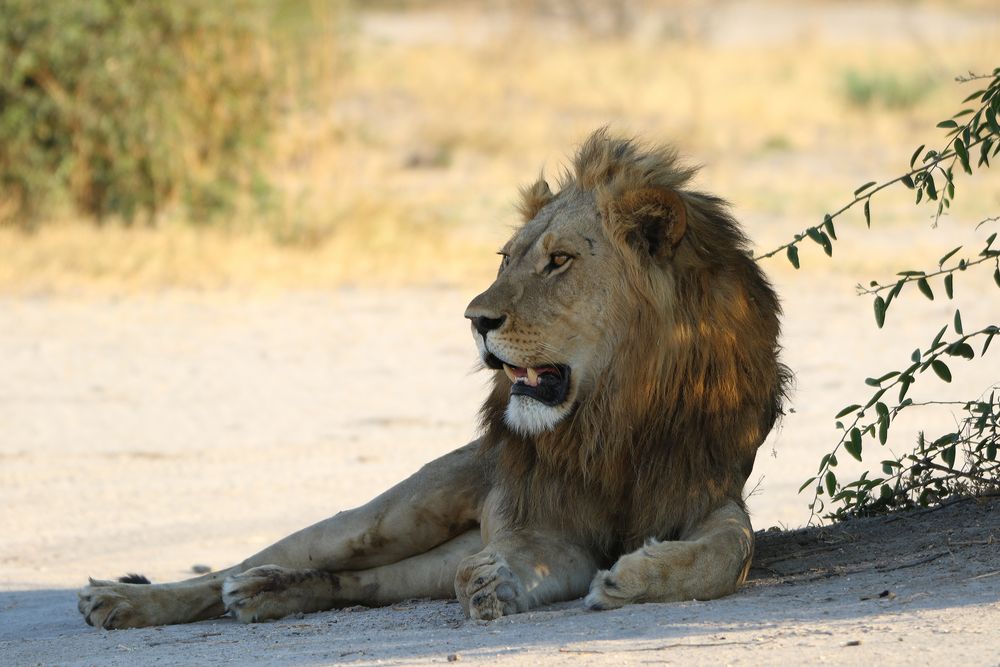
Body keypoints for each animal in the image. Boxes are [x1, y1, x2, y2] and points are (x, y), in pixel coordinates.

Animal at [76, 130, 788, 632]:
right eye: (506, 258)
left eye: (559, 261)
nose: (476, 320)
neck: (616, 413)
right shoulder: (538, 519)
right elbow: (529, 553)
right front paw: (496, 582)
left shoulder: (706, 491)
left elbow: (733, 550)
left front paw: (629, 577)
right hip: (391, 514)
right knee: (248, 561)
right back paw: (121, 599)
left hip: (426, 552)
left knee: (357, 582)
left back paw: (267, 592)